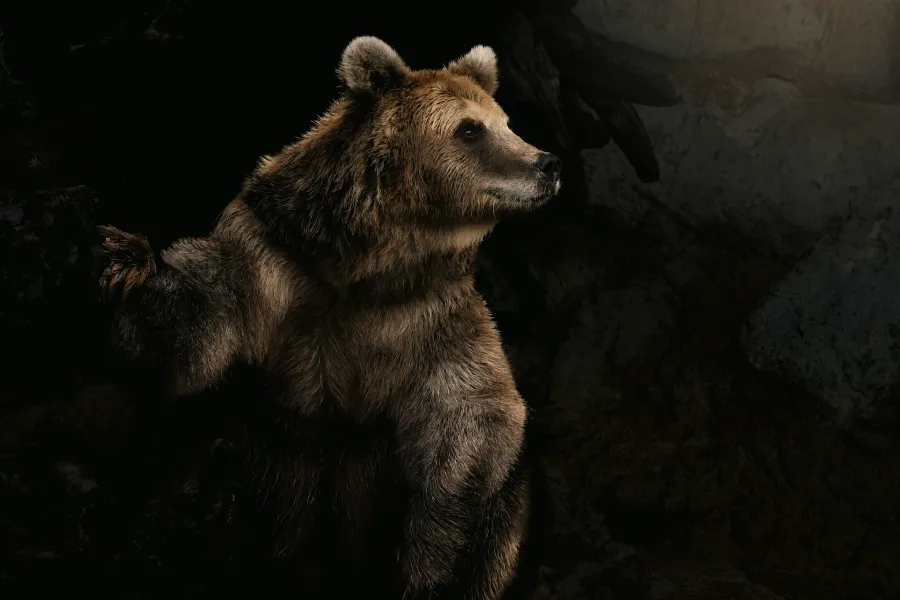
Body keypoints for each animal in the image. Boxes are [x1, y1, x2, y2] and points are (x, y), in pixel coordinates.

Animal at [98, 36, 562, 599]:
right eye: (471, 128)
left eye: (507, 122)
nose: (547, 163)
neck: (366, 268)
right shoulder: (270, 267)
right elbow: (191, 338)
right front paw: (125, 263)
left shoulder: (432, 319)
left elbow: (476, 415)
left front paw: (429, 561)